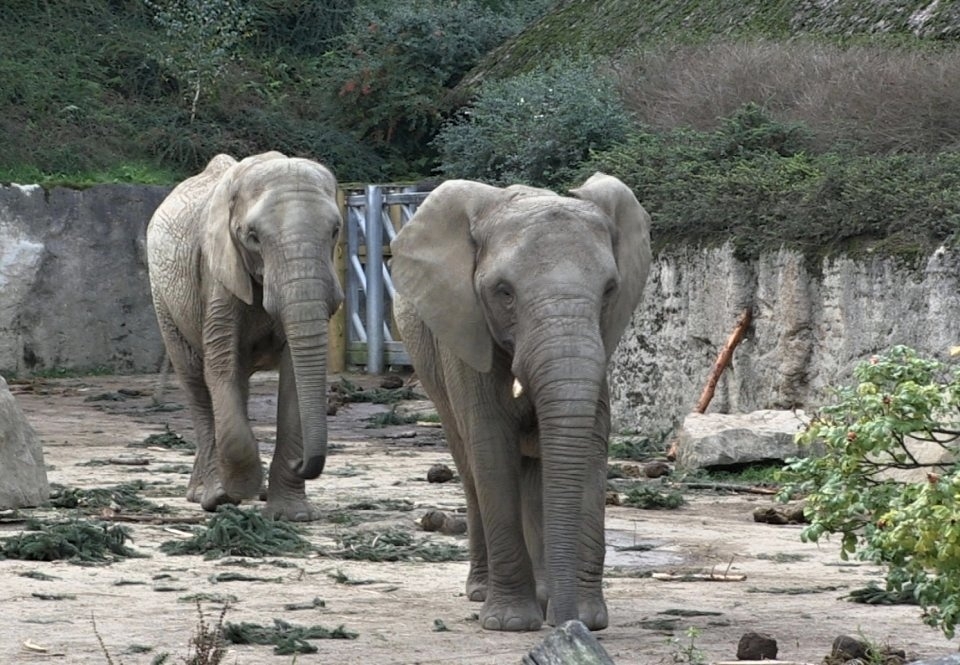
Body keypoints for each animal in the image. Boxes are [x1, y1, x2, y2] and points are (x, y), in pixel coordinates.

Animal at [144, 150, 344, 520]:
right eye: (252, 236)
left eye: (336, 231)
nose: (301, 464)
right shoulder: (217, 272)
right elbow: (220, 367)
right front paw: (237, 491)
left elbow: (294, 379)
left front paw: (291, 514)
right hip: (162, 299)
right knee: (196, 381)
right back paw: (209, 495)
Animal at [390, 171, 652, 628]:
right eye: (504, 293)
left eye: (609, 290)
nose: (564, 623)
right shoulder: (467, 330)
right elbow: (492, 449)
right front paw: (512, 623)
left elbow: (589, 446)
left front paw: (587, 619)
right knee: (469, 466)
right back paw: (482, 593)